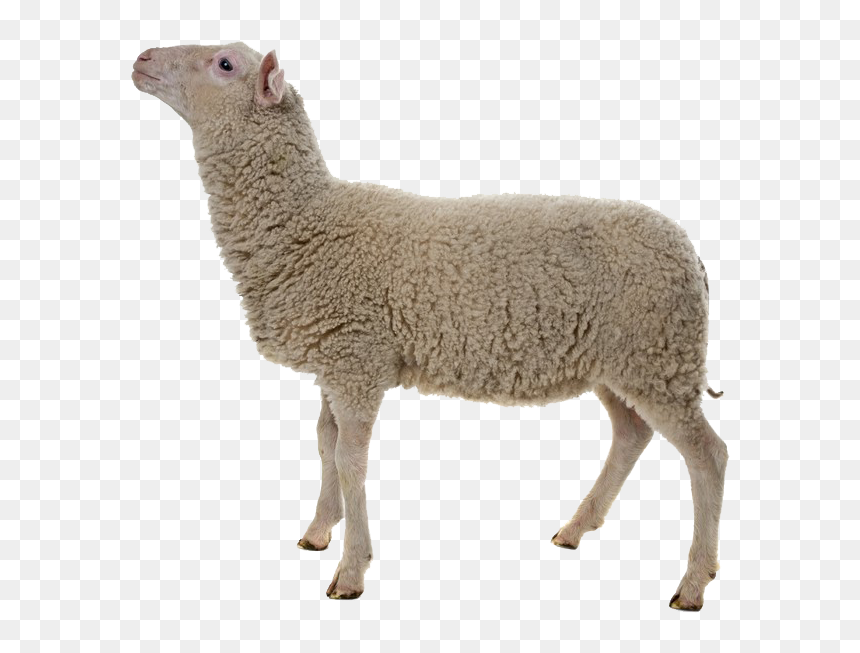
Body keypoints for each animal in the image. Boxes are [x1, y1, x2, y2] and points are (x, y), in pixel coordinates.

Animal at [131, 42, 728, 611]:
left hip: (659, 354)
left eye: (225, 64)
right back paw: (577, 528)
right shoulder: (334, 356)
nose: (141, 60)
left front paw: (351, 572)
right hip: (622, 362)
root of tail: (692, 256)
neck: (309, 220)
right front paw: (320, 530)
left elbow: (350, 459)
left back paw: (693, 583)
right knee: (631, 434)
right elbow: (325, 443)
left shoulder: (358, 359)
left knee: (708, 457)